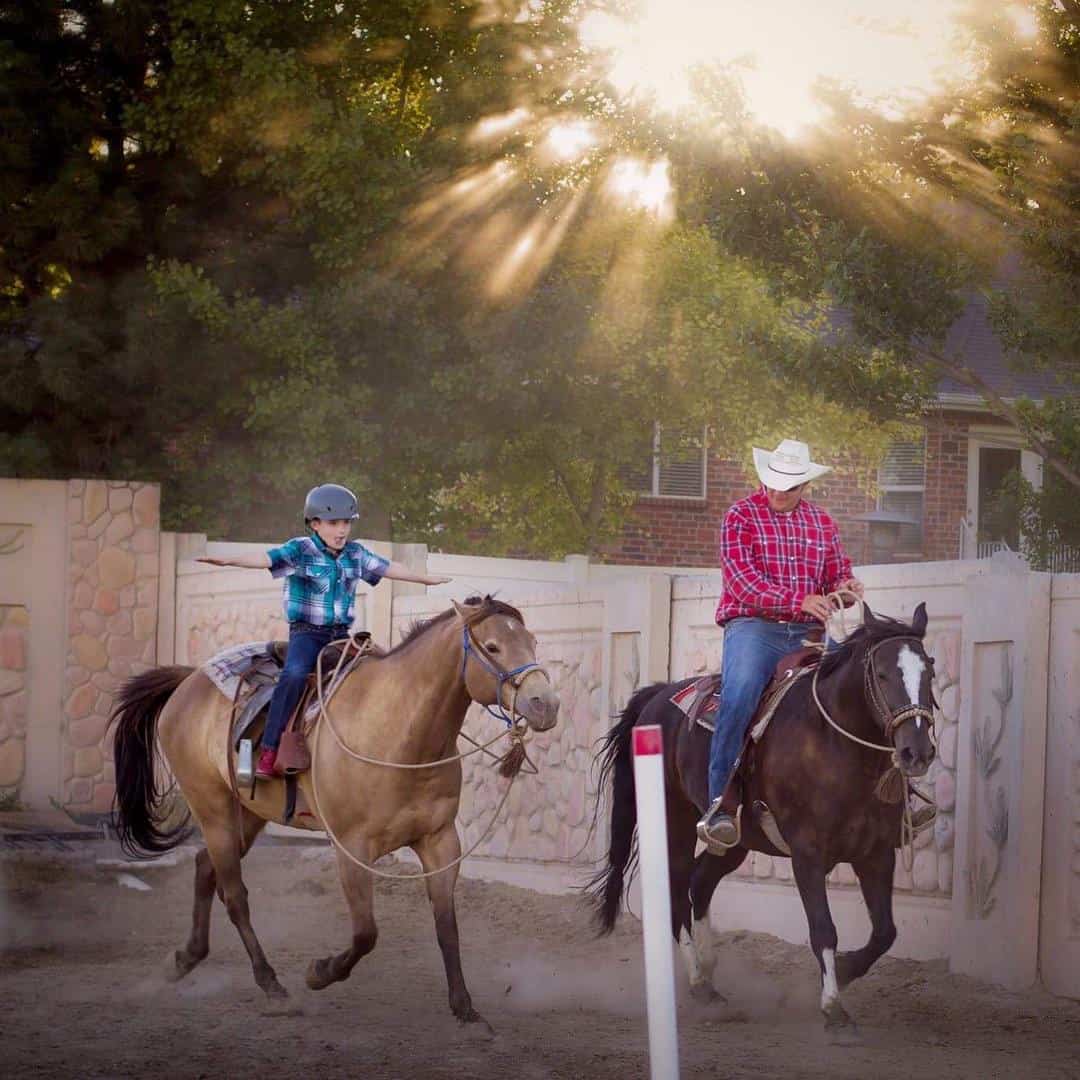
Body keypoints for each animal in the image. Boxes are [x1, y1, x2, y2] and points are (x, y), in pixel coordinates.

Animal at [111, 596, 557, 1023]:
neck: (399, 732)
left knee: (206, 867)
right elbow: (366, 933)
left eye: (533, 641)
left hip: (246, 814)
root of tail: (187, 683)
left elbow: (447, 925)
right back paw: (273, 987)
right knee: (234, 894)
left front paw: (464, 1007)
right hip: (213, 808)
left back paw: (185, 959)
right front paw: (319, 973)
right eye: (494, 646)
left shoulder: (440, 841)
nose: (546, 704)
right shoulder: (352, 848)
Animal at [587, 604, 933, 1032]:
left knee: (701, 881)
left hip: (736, 839)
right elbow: (823, 929)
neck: (837, 747)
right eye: (882, 674)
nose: (917, 752)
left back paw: (711, 971)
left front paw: (845, 970)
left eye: (931, 671)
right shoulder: (807, 853)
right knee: (678, 892)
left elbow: (885, 932)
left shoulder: (876, 854)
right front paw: (833, 1009)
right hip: (676, 821)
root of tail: (658, 695)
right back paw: (699, 982)